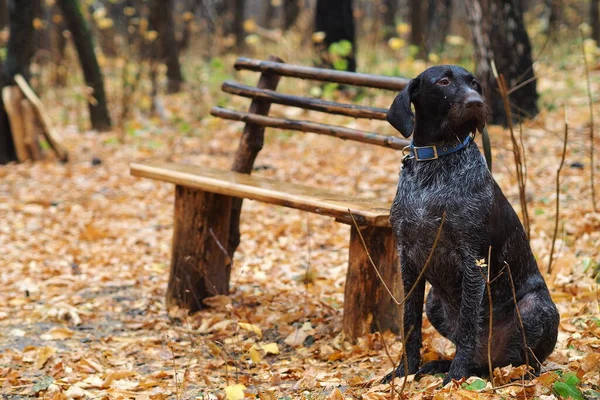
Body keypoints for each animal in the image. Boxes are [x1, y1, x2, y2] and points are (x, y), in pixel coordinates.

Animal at [382, 65, 560, 384]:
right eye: (443, 82)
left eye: (474, 83)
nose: (477, 103)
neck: (437, 160)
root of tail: (493, 361)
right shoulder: (408, 260)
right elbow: (409, 322)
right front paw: (405, 372)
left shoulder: (472, 262)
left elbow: (467, 326)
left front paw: (456, 377)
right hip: (434, 302)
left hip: (535, 306)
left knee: (529, 361)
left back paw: (515, 375)